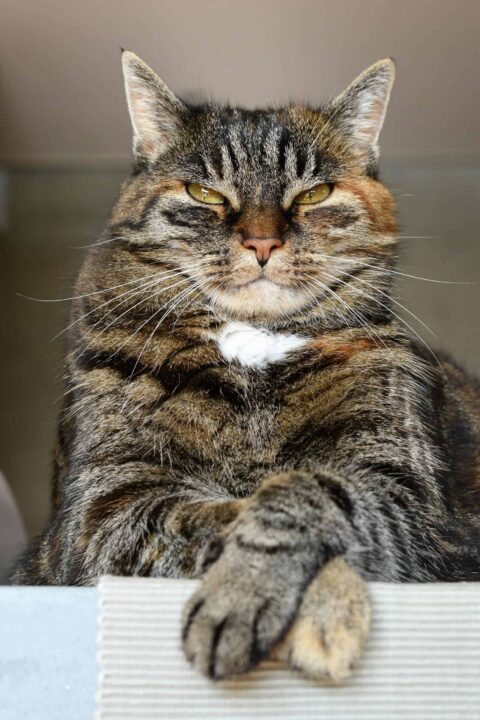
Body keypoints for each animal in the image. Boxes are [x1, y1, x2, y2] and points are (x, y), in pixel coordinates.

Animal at [12, 49, 480, 680]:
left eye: (315, 194)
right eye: (204, 193)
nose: (262, 243)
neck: (252, 347)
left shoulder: (408, 497)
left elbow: (302, 489)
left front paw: (294, 604)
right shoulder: (107, 509)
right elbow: (220, 513)